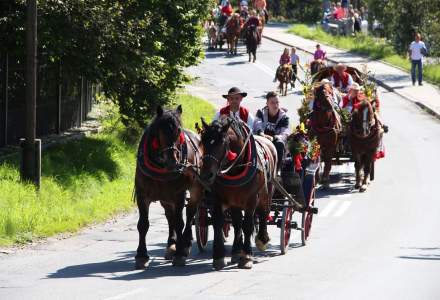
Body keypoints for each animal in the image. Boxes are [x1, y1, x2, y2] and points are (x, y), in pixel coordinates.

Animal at [133, 104, 204, 268]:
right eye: (161, 131)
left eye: (179, 130)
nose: (173, 161)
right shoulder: (142, 194)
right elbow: (143, 224)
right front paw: (141, 255)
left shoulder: (179, 194)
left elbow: (180, 222)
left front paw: (180, 253)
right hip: (165, 197)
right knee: (169, 216)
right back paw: (171, 244)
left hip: (195, 190)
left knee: (190, 214)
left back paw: (185, 244)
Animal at [199, 117, 276, 270]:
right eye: (203, 141)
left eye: (221, 142)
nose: (205, 175)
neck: (234, 168)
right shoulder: (218, 197)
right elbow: (219, 223)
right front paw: (219, 256)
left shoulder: (252, 199)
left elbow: (248, 225)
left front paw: (246, 257)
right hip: (235, 200)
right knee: (237, 222)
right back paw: (236, 251)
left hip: (266, 192)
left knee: (264, 212)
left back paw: (262, 239)